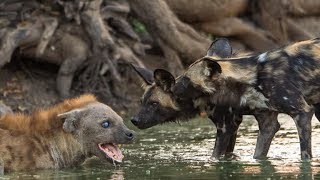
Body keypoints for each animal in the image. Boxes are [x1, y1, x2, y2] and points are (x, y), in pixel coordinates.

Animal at [172, 37, 320, 159]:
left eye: (186, 79)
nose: (171, 87)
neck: (251, 79)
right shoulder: (267, 124)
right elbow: (258, 155)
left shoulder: (302, 113)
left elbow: (305, 155)